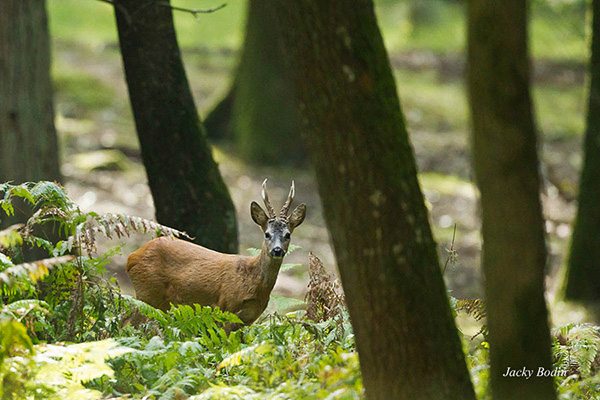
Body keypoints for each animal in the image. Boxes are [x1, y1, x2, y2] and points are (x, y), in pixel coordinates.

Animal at [125, 180, 304, 326]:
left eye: (288, 235)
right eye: (267, 234)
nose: (277, 250)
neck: (253, 282)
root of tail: (131, 257)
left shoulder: (247, 319)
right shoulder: (224, 307)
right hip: (148, 292)